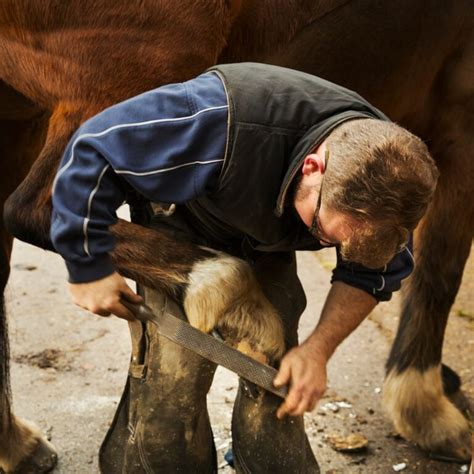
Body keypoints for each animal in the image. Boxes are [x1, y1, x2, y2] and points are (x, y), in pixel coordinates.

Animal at [0, 0, 474, 470]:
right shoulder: (460, 120)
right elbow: (440, 273)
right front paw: (429, 411)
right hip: (136, 69)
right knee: (39, 208)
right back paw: (229, 295)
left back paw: (17, 444)